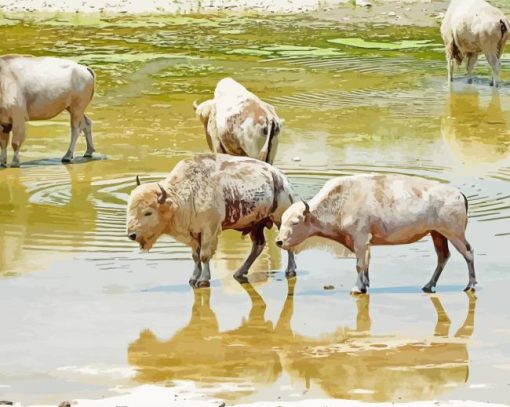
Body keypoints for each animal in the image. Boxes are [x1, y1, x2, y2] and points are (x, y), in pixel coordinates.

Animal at [125, 155, 296, 288]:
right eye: (130, 209)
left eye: (148, 212)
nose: (131, 234)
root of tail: (281, 178)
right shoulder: (194, 233)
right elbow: (195, 256)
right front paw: (193, 278)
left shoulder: (209, 229)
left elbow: (204, 255)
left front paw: (203, 280)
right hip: (256, 224)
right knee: (258, 245)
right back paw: (239, 273)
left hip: (280, 218)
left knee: (286, 243)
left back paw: (290, 271)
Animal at [276, 174, 476, 294]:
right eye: (283, 220)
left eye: (294, 222)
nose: (278, 242)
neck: (341, 201)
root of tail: (458, 193)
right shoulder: (363, 243)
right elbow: (365, 264)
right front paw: (365, 285)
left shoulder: (360, 239)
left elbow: (359, 264)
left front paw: (357, 288)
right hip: (437, 234)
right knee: (443, 256)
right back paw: (428, 286)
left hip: (454, 234)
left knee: (468, 253)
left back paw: (470, 286)